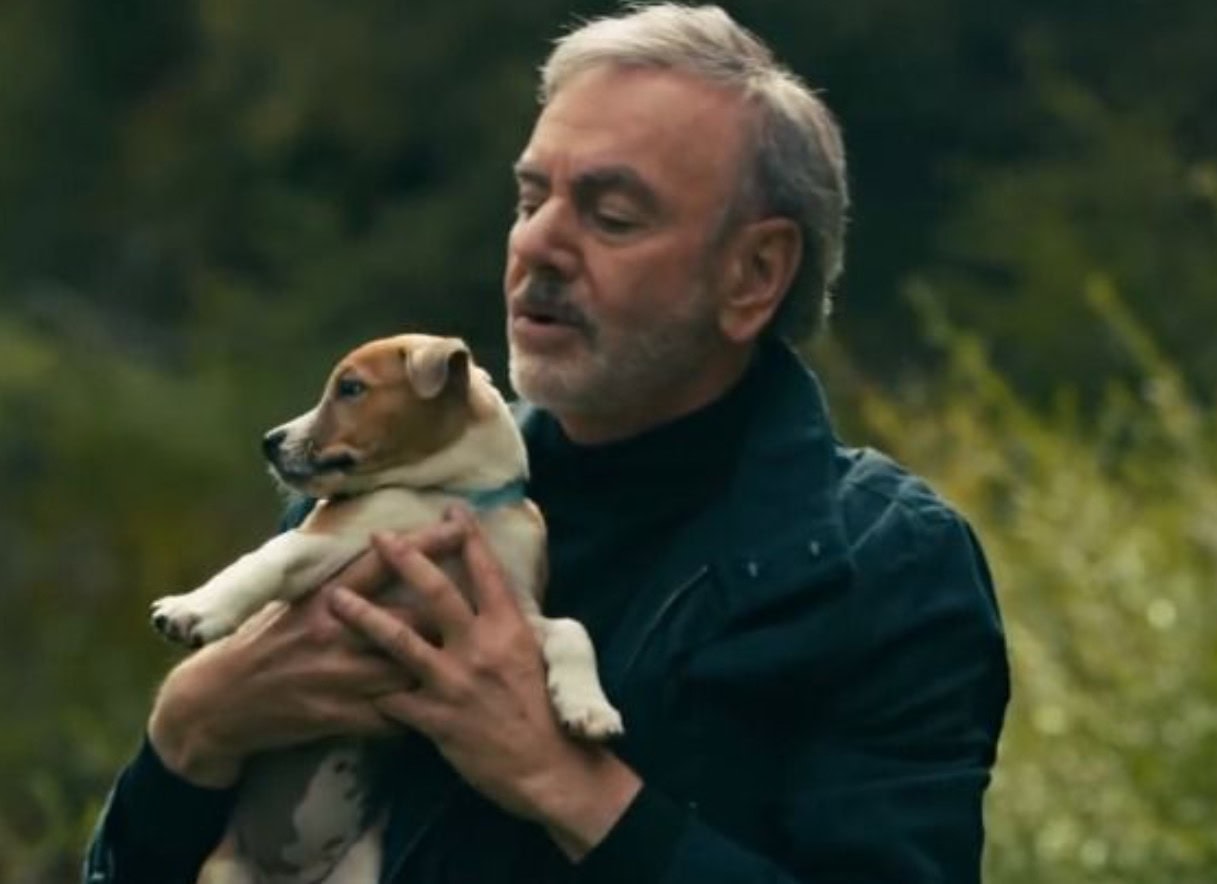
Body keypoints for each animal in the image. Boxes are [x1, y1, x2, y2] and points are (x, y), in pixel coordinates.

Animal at [150, 333, 623, 883]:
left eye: (351, 388)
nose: (269, 441)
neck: (446, 496)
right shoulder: (329, 547)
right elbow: (267, 558)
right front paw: (192, 608)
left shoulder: (514, 610)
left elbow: (571, 628)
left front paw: (589, 709)